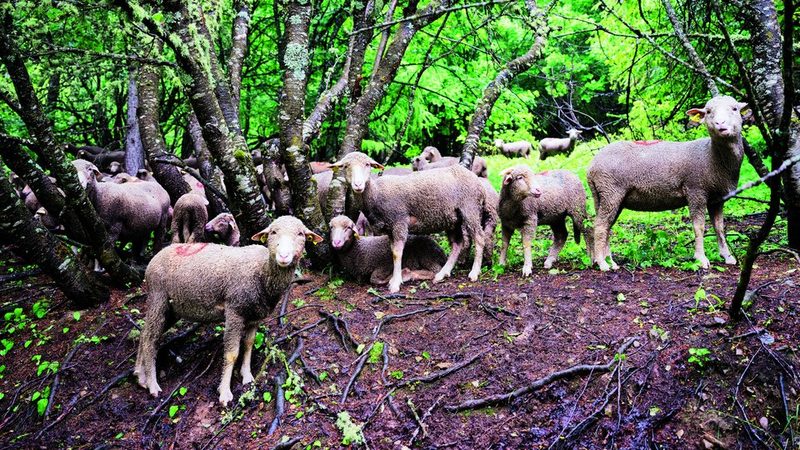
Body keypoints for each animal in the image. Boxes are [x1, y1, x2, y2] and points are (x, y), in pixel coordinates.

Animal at [134, 216, 323, 405]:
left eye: (300, 234)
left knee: (144, 333)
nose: (283, 256)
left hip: (173, 308)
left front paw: (247, 375)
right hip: (158, 296)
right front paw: (225, 392)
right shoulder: (234, 311)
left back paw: (140, 376)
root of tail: (155, 258)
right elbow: (232, 353)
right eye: (273, 232)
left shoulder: (255, 316)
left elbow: (248, 344)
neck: (262, 271)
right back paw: (152, 384)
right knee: (150, 339)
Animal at [330, 152, 491, 292]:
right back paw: (442, 274)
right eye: (345, 166)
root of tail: (477, 180)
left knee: (479, 237)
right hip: (453, 219)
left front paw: (396, 282)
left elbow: (397, 253)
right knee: (458, 243)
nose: (358, 185)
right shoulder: (390, 228)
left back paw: (474, 272)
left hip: (470, 209)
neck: (376, 194)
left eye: (367, 164)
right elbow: (392, 251)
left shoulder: (399, 221)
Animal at [587, 96, 747, 271]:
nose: (720, 123)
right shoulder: (695, 190)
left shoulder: (717, 198)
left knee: (607, 226)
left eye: (735, 109)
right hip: (611, 192)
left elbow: (719, 227)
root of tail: (591, 167)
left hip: (606, 196)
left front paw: (728, 257)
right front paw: (701, 259)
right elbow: (699, 227)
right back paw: (602, 264)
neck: (712, 157)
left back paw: (610, 262)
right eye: (709, 112)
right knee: (600, 226)